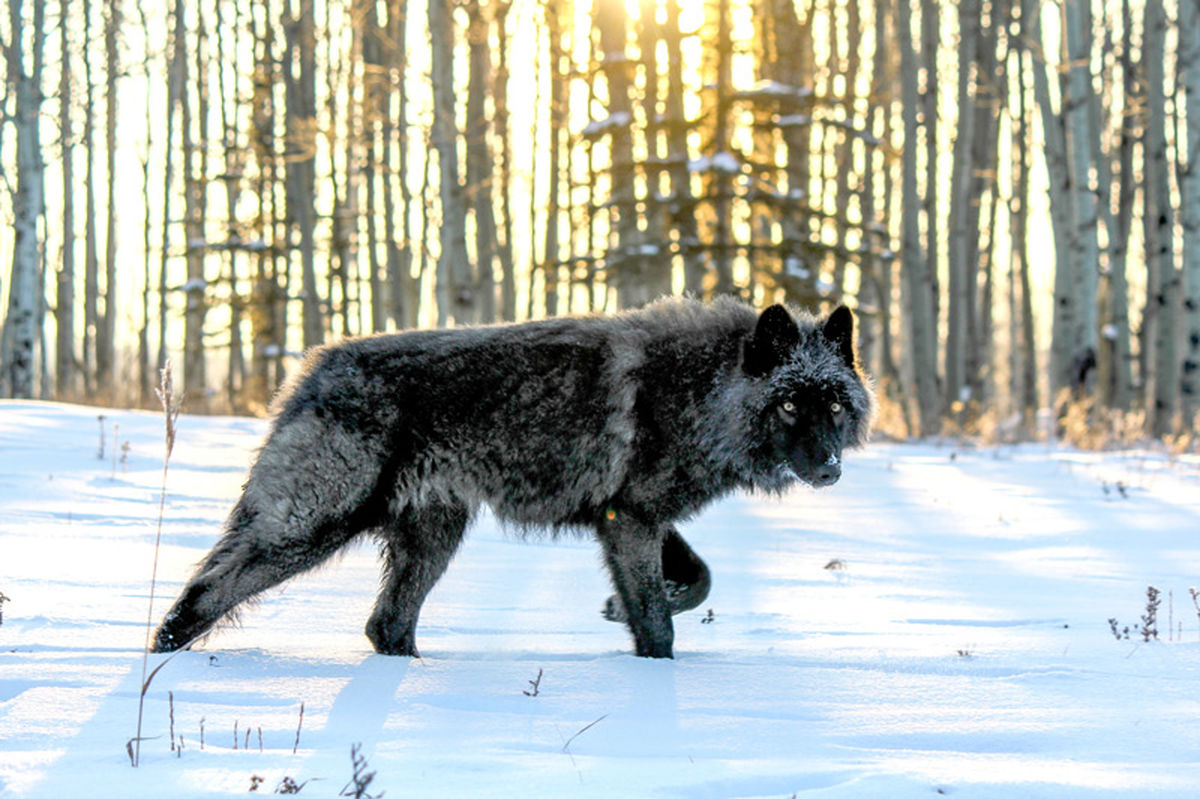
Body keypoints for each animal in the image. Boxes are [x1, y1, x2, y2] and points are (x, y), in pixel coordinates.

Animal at [157, 295, 873, 657]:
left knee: (385, 625)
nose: (828, 469)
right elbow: (659, 621)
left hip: (432, 539)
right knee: (207, 592)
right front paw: (653, 675)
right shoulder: (631, 521)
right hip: (310, 527)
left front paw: (618, 610)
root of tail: (315, 366)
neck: (701, 389)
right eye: (789, 404)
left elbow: (698, 579)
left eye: (835, 405)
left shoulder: (632, 518)